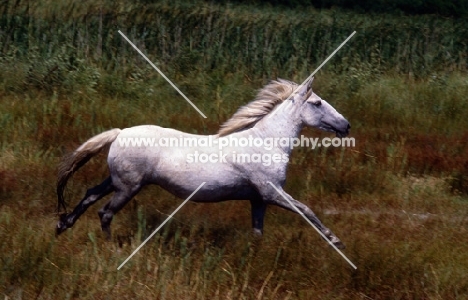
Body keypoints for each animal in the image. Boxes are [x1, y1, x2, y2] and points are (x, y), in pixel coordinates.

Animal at [54, 77, 350, 248]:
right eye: (317, 102)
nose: (345, 126)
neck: (267, 142)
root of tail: (119, 133)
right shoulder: (272, 192)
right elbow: (307, 210)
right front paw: (336, 241)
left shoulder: (258, 199)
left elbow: (257, 232)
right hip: (128, 187)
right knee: (104, 212)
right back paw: (111, 248)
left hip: (117, 182)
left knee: (90, 195)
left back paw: (62, 226)